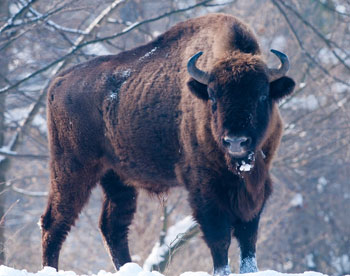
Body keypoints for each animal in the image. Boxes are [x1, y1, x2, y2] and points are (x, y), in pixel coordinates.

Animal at [41, 13, 296, 276]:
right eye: (213, 96)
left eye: (262, 95)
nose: (236, 141)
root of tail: (58, 82)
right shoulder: (205, 188)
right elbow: (219, 236)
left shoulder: (255, 186)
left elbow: (248, 237)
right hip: (72, 170)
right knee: (55, 222)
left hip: (116, 178)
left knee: (112, 227)